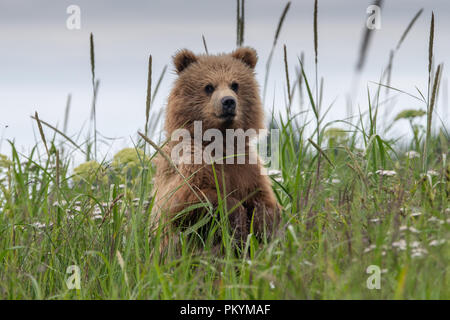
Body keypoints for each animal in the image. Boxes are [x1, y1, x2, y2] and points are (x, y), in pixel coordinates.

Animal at [151, 47, 282, 251]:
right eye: (208, 86)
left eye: (235, 84)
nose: (228, 102)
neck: (221, 141)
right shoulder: (191, 163)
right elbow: (186, 201)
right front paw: (237, 216)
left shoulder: (247, 167)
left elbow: (263, 200)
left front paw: (263, 223)